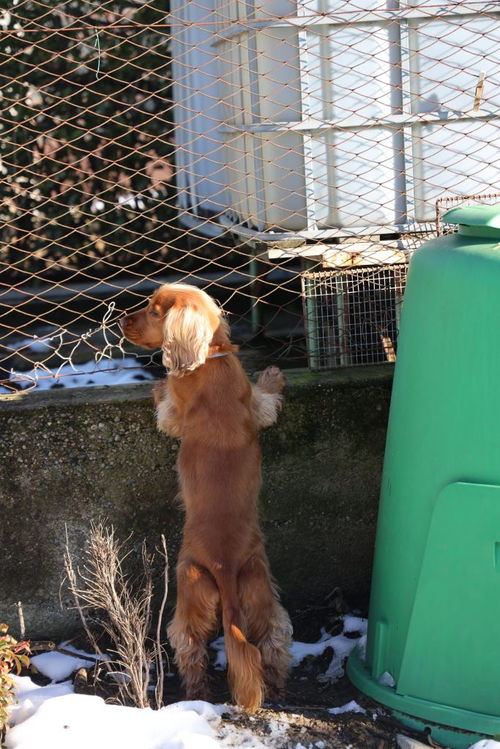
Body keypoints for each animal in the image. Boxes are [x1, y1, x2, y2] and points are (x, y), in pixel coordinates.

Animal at [121, 284, 292, 712]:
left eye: (153, 311)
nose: (122, 320)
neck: (209, 359)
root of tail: (225, 565)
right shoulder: (254, 405)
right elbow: (266, 401)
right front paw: (273, 375)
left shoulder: (174, 412)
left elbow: (165, 408)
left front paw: (158, 385)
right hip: (258, 585)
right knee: (273, 637)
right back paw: (277, 687)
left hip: (189, 588)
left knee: (189, 645)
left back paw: (195, 692)